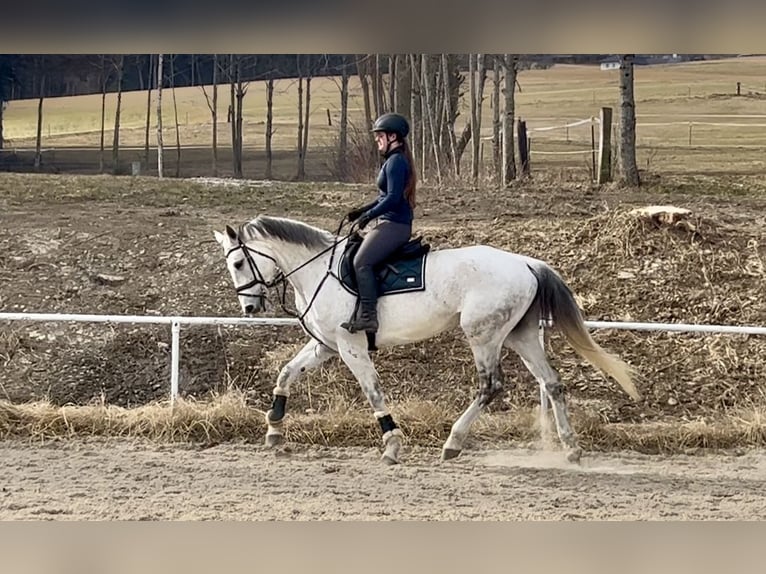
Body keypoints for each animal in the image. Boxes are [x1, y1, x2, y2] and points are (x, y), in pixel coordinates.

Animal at [213, 216, 640, 468]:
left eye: (238, 263)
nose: (249, 308)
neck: (319, 269)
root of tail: (526, 262)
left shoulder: (350, 347)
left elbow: (373, 392)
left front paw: (392, 444)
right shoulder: (326, 346)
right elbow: (286, 373)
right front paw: (274, 429)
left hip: (483, 336)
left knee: (490, 386)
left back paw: (453, 442)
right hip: (520, 336)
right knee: (552, 383)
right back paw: (571, 448)